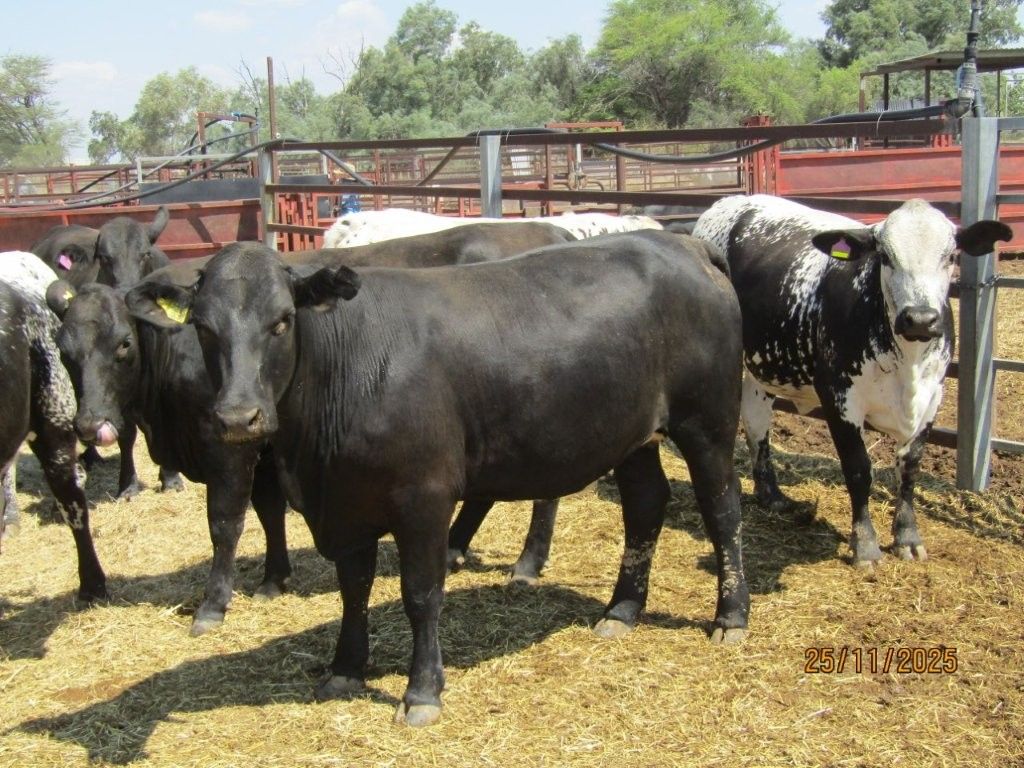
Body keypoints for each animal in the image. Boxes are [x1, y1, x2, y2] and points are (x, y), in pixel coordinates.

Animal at [125, 231, 749, 726]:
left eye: (281, 321)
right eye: (203, 328)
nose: (238, 418)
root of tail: (683, 243)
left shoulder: (422, 498)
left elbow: (421, 594)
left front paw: (421, 692)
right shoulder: (347, 505)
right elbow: (354, 589)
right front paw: (345, 669)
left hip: (708, 421)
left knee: (722, 510)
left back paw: (731, 616)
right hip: (634, 436)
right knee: (645, 504)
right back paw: (621, 610)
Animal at [692, 194, 1012, 568]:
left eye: (950, 256)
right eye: (885, 256)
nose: (920, 318)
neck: (908, 362)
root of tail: (736, 200)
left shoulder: (933, 399)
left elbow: (910, 469)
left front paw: (907, 537)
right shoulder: (839, 398)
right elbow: (859, 470)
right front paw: (866, 546)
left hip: (761, 368)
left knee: (757, 422)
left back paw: (771, 494)